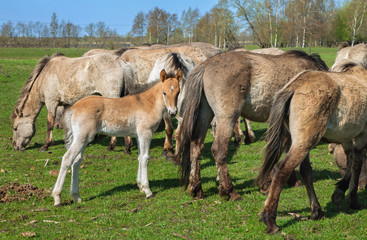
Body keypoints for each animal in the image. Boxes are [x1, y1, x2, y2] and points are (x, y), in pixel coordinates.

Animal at [51, 68, 183, 205]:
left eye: (178, 92)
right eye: (164, 93)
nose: (173, 112)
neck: (148, 103)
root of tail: (74, 107)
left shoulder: (138, 135)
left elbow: (140, 157)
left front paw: (140, 186)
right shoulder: (145, 133)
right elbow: (145, 158)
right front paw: (147, 191)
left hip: (84, 139)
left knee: (76, 161)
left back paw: (76, 196)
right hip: (82, 138)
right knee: (67, 159)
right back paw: (57, 197)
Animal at [177, 49, 330, 201]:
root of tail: (206, 65)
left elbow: (285, 149)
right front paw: (267, 184)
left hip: (205, 115)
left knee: (196, 147)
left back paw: (196, 188)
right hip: (227, 118)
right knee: (218, 150)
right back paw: (230, 191)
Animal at [258, 61, 367, 233]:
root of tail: (294, 87)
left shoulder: (346, 138)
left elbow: (349, 163)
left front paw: (339, 192)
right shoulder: (361, 136)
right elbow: (356, 165)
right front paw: (353, 200)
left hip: (302, 143)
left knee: (306, 171)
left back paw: (316, 211)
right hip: (304, 143)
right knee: (281, 170)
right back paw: (270, 220)